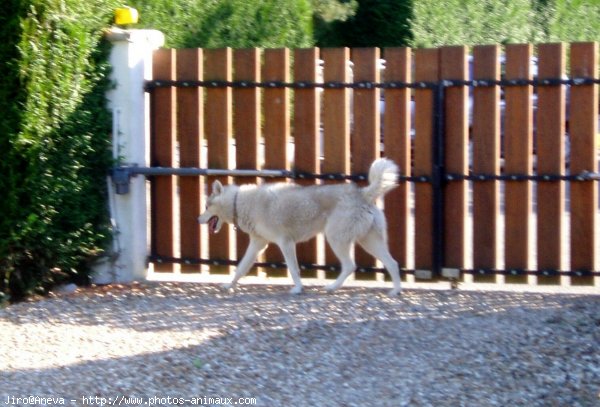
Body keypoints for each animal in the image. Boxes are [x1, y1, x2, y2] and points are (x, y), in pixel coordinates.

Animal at [199, 159, 400, 296]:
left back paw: (331, 287)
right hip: (370, 242)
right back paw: (395, 291)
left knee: (350, 266)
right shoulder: (258, 244)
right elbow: (240, 268)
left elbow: (293, 269)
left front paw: (297, 288)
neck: (238, 202)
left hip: (336, 239)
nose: (198, 219)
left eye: (206, 207)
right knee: (392, 263)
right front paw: (229, 285)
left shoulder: (285, 243)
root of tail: (363, 194)